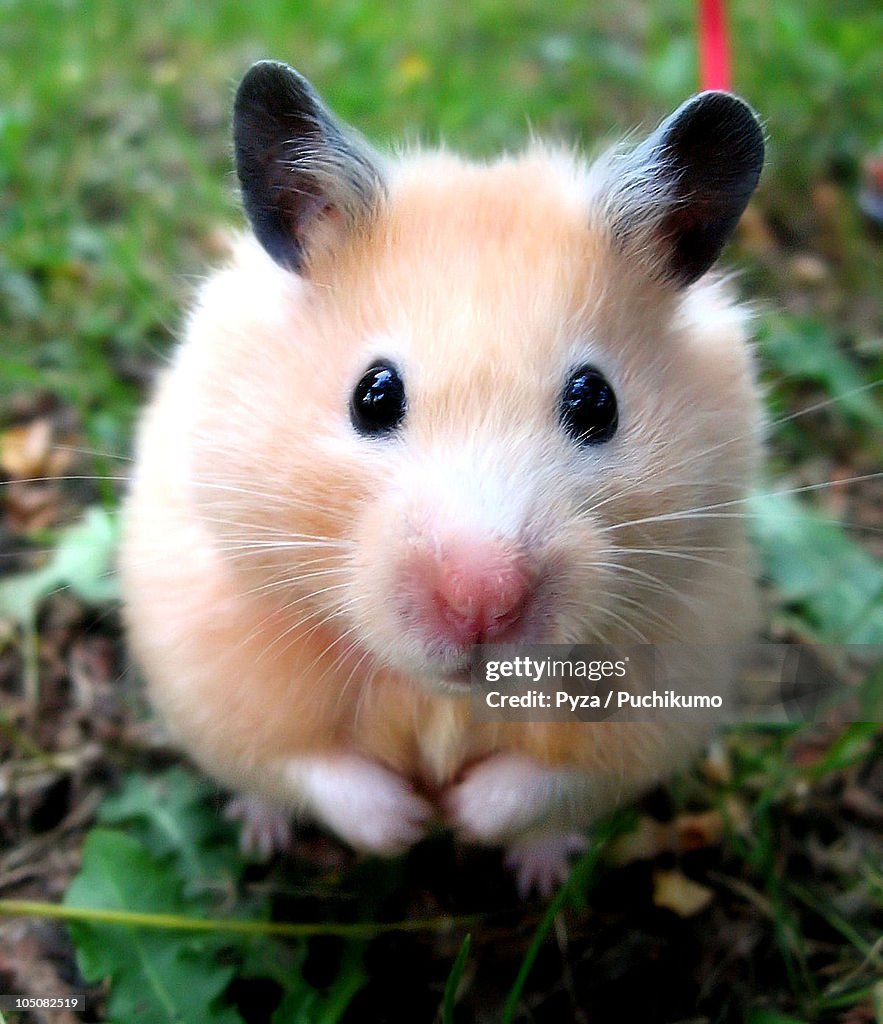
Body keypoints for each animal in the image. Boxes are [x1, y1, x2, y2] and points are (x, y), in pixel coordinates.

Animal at [119, 61, 766, 897]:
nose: (480, 599)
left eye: (596, 402)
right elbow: (309, 766)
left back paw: (539, 874)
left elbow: (548, 781)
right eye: (373, 395)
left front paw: (458, 816)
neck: (438, 695)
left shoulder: (663, 696)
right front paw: (406, 823)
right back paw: (260, 837)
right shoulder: (214, 670)